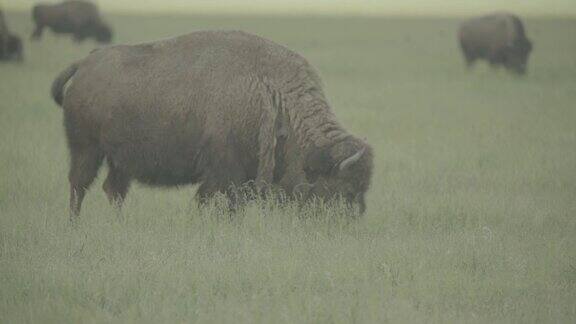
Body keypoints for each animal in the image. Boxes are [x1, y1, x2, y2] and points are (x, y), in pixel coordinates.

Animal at [51, 30, 376, 219]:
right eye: (345, 189)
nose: (349, 221)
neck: (272, 92)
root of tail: (84, 64)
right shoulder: (223, 172)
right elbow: (214, 200)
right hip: (86, 149)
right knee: (79, 185)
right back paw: (74, 222)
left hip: (120, 160)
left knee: (112, 189)